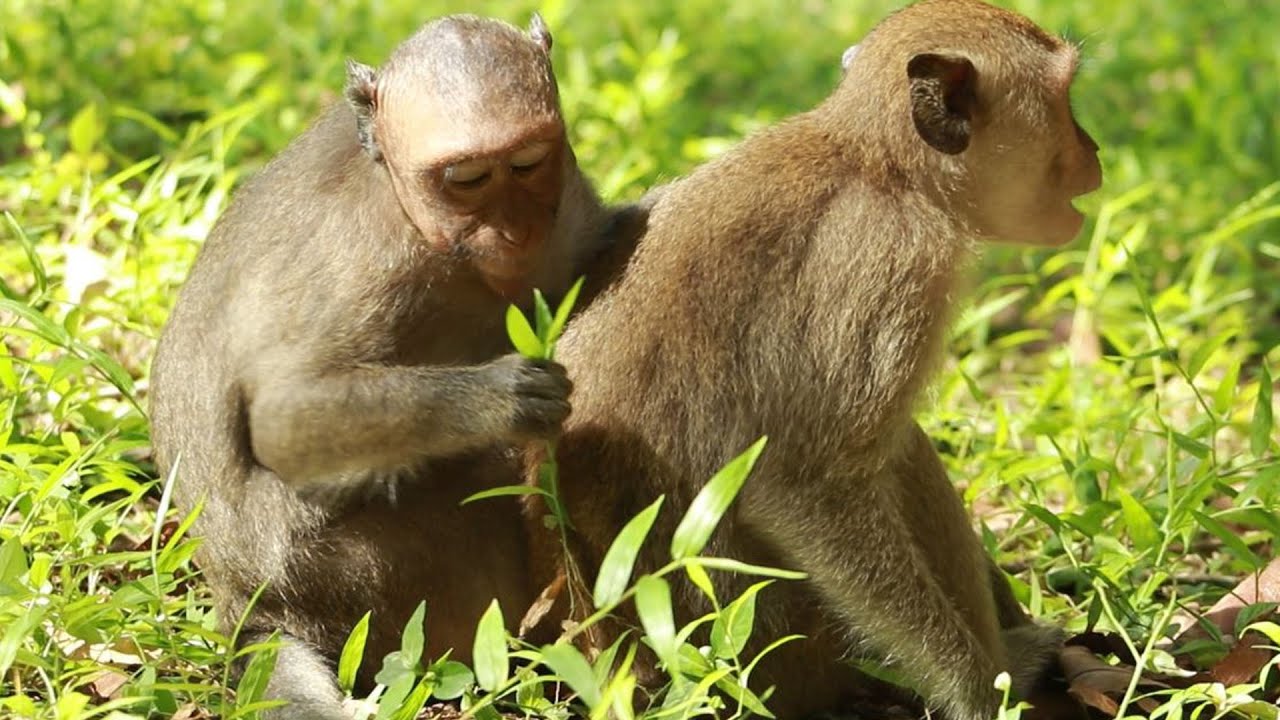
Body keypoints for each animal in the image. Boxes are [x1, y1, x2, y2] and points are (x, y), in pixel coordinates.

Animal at [149, 15, 620, 720]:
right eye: (467, 179)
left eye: (527, 164)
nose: (513, 232)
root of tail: (247, 605)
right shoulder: (363, 260)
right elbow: (283, 422)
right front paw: (502, 397)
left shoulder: (569, 207)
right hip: (356, 576)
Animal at [524, 1, 1102, 718]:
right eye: (1064, 99)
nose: (1093, 150)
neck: (877, 166)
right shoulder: (890, 265)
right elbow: (803, 484)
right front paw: (975, 691)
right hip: (772, 643)